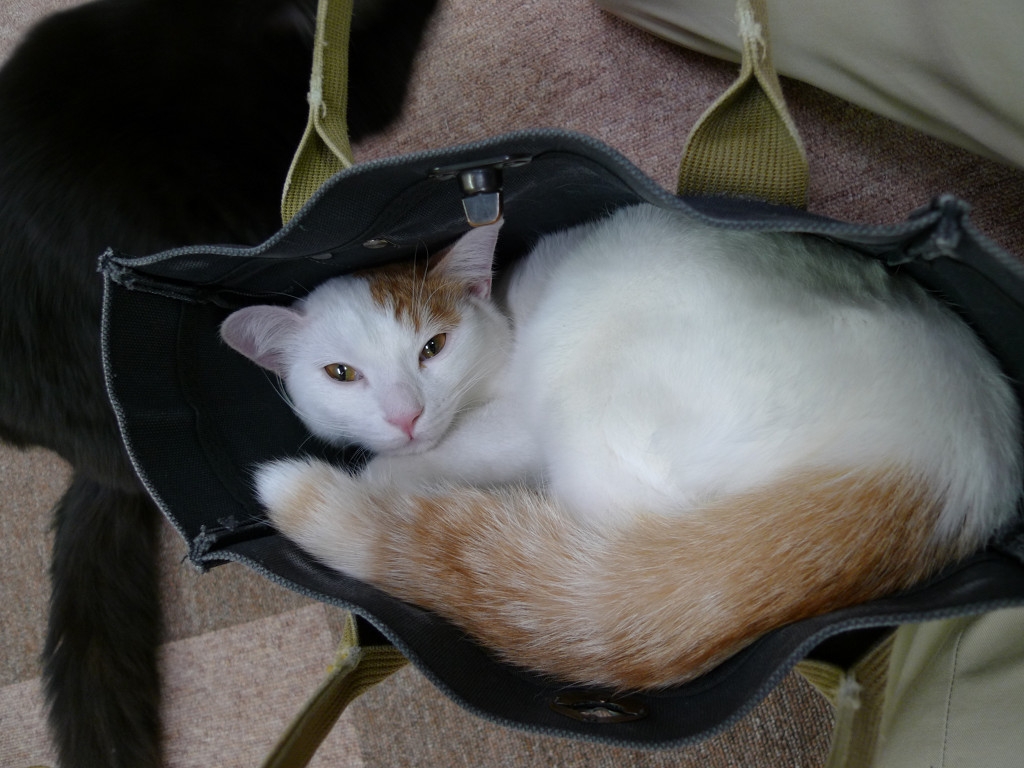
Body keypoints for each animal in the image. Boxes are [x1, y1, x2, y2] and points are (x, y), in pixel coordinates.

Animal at [222, 203, 1023, 690]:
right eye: (341, 374)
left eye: (433, 347)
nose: (405, 416)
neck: (504, 313)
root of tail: (944, 457)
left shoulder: (511, 423)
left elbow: (433, 461)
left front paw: (388, 474)